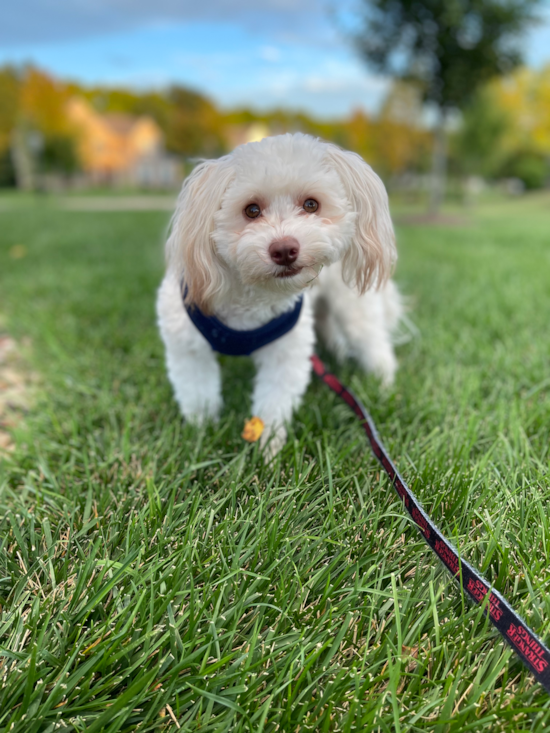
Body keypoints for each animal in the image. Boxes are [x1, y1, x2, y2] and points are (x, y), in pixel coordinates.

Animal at [157, 132, 404, 452]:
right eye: (251, 210)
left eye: (311, 204)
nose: (285, 249)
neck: (249, 295)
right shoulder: (187, 346)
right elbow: (198, 393)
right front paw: (201, 433)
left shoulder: (286, 351)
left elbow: (274, 401)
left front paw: (269, 447)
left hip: (353, 310)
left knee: (374, 346)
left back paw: (383, 387)